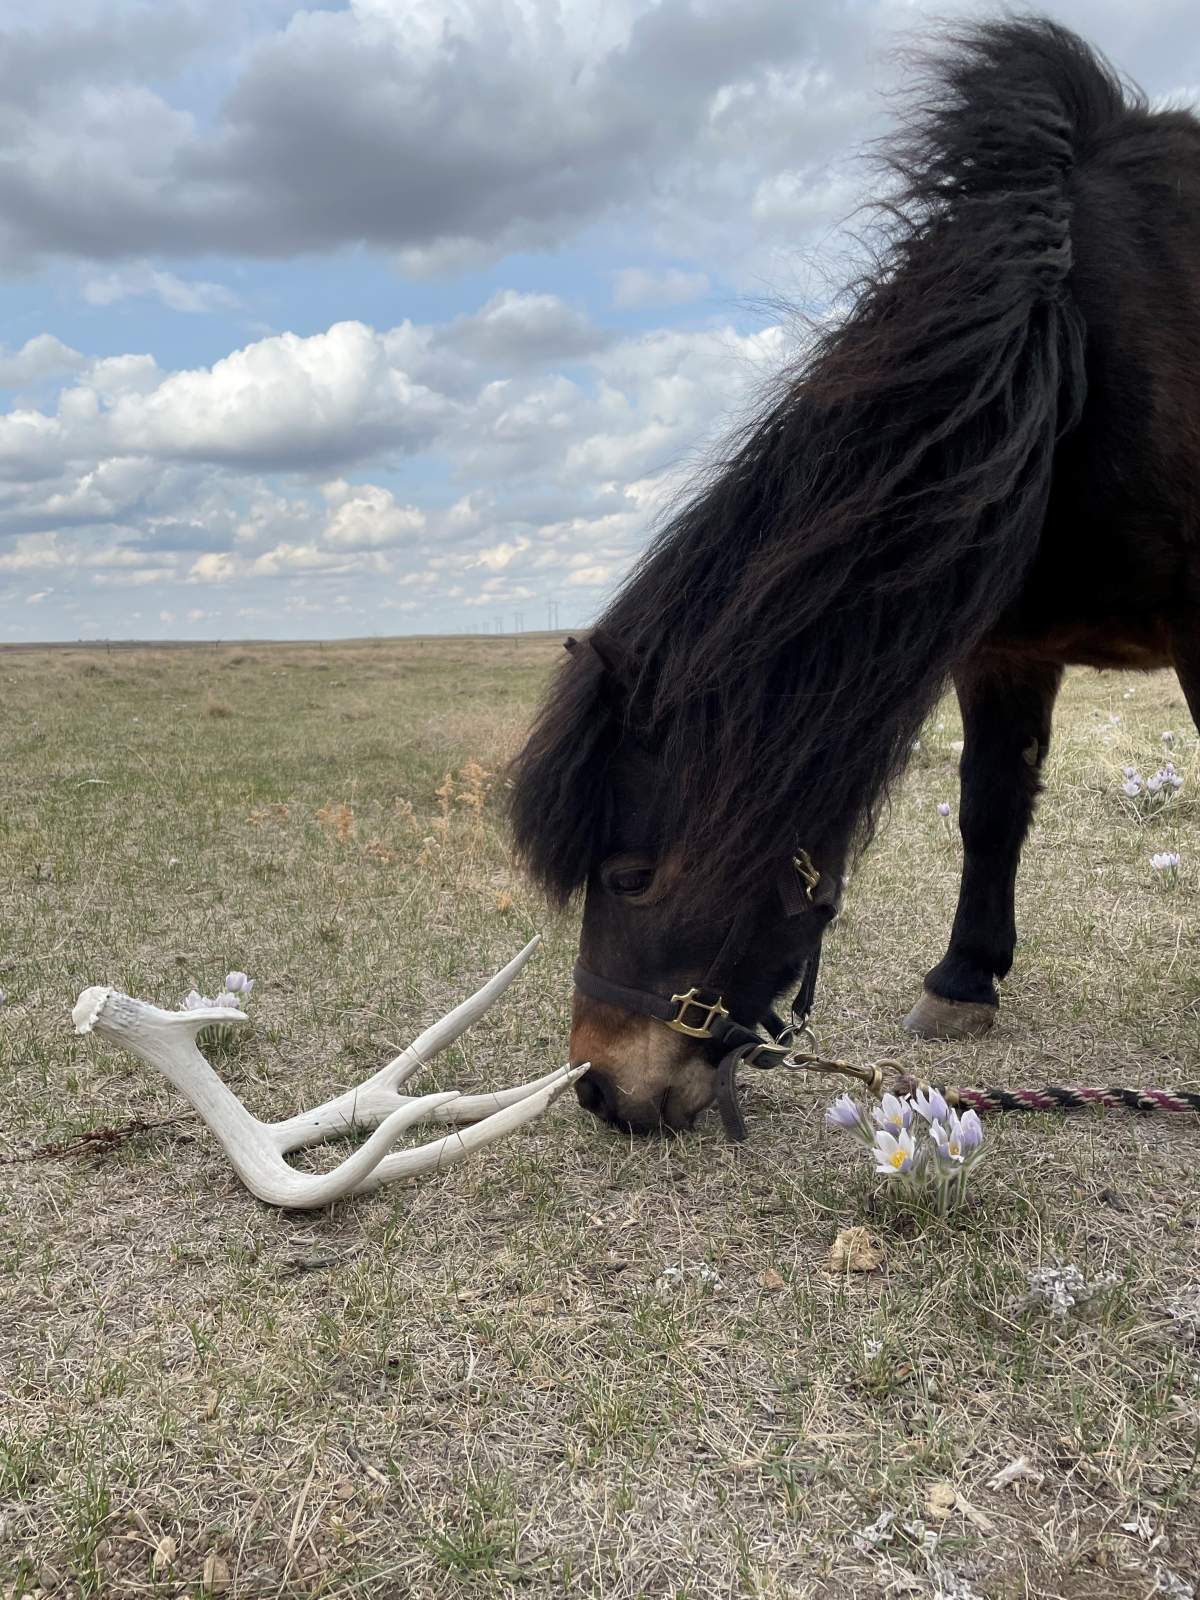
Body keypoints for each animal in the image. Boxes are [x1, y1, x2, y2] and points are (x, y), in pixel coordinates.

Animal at [508, 18, 1200, 1135]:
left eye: (631, 874)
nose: (603, 1090)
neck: (1071, 362)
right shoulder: (1003, 650)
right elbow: (990, 806)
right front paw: (963, 980)